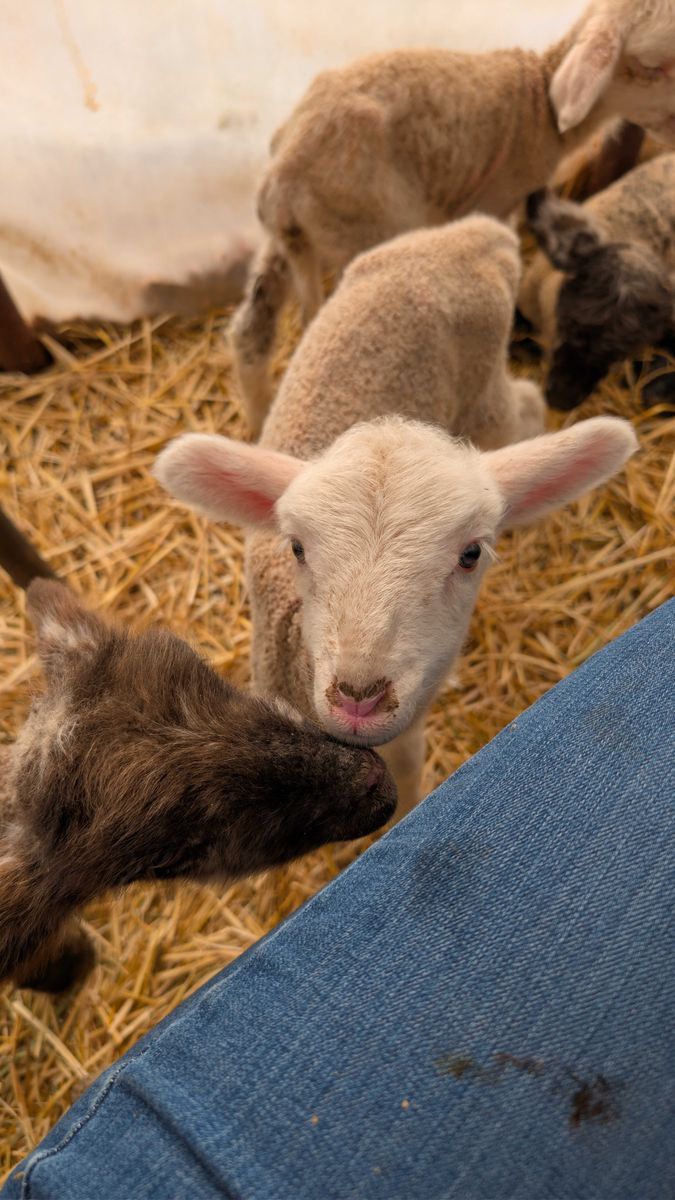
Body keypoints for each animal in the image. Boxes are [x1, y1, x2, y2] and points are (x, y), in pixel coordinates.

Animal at [155, 216, 638, 815]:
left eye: (471, 554)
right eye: (296, 548)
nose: (359, 699)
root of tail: (478, 232)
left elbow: (408, 774)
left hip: (485, 396)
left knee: (525, 402)